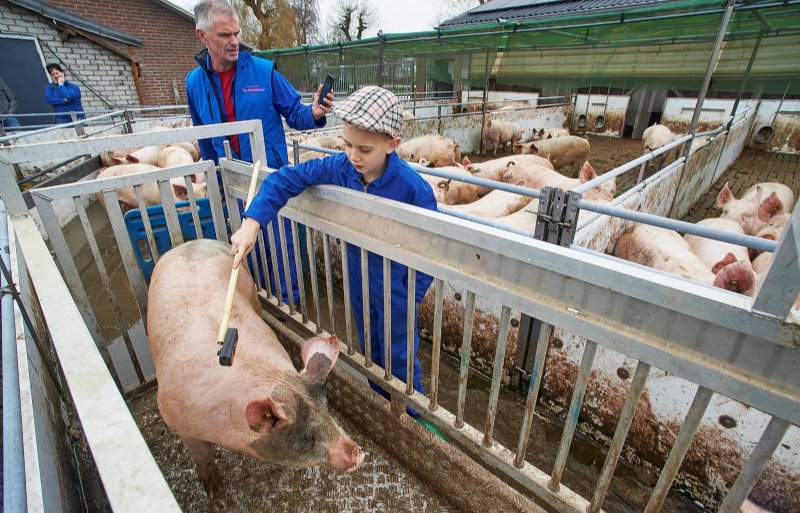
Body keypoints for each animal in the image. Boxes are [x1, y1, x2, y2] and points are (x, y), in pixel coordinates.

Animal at [147, 239, 366, 496]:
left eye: (327, 411)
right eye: (307, 437)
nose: (359, 454)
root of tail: (190, 242)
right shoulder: (178, 421)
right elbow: (202, 455)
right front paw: (216, 493)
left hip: (251, 289)